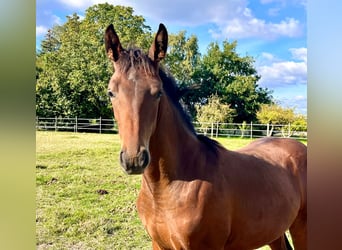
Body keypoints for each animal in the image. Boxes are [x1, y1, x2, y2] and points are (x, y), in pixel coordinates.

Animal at [104, 22, 308, 249]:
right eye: (111, 92)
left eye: (157, 92)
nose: (134, 159)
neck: (168, 189)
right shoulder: (158, 244)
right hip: (274, 232)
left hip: (301, 227)